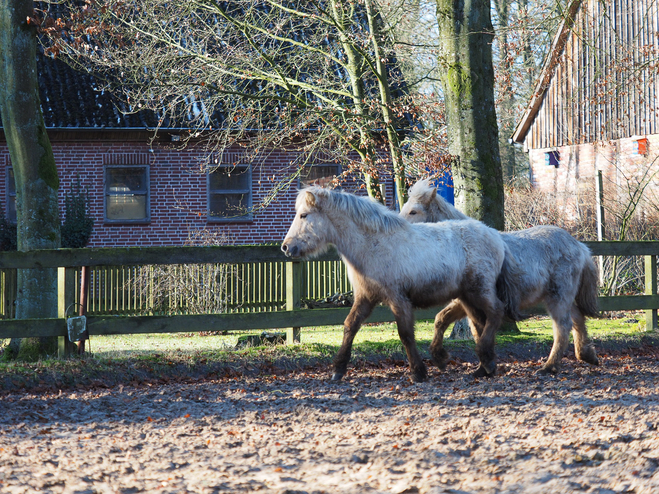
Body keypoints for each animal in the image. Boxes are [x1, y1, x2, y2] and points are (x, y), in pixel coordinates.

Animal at [282, 186, 520, 382]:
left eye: (303, 215)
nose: (286, 247)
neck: (373, 245)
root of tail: (496, 236)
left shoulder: (398, 299)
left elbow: (405, 334)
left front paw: (418, 372)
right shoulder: (365, 298)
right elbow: (350, 326)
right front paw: (338, 370)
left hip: (479, 291)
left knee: (496, 312)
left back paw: (484, 360)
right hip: (467, 297)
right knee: (481, 322)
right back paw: (482, 366)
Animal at [400, 179, 600, 372]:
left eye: (413, 211)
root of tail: (580, 246)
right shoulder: (465, 300)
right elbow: (446, 320)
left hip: (558, 297)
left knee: (562, 327)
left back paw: (549, 367)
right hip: (562, 296)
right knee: (577, 318)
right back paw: (586, 355)